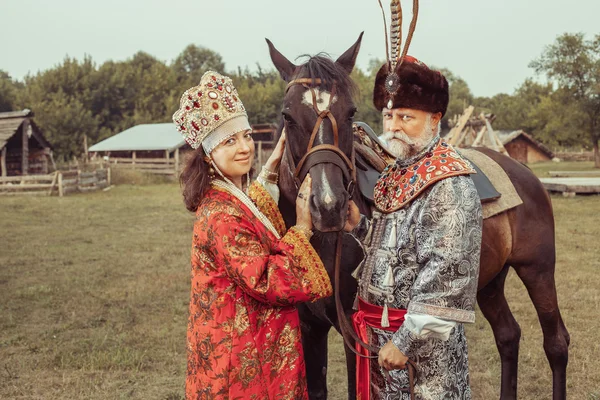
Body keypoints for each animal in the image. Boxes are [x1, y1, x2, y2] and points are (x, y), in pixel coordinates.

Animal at [264, 34, 568, 400]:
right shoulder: (311, 325)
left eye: (350, 112)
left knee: (556, 343)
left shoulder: (355, 335)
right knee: (509, 335)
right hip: (490, 283)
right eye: (288, 116)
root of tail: (525, 174)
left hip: (538, 270)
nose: (328, 205)